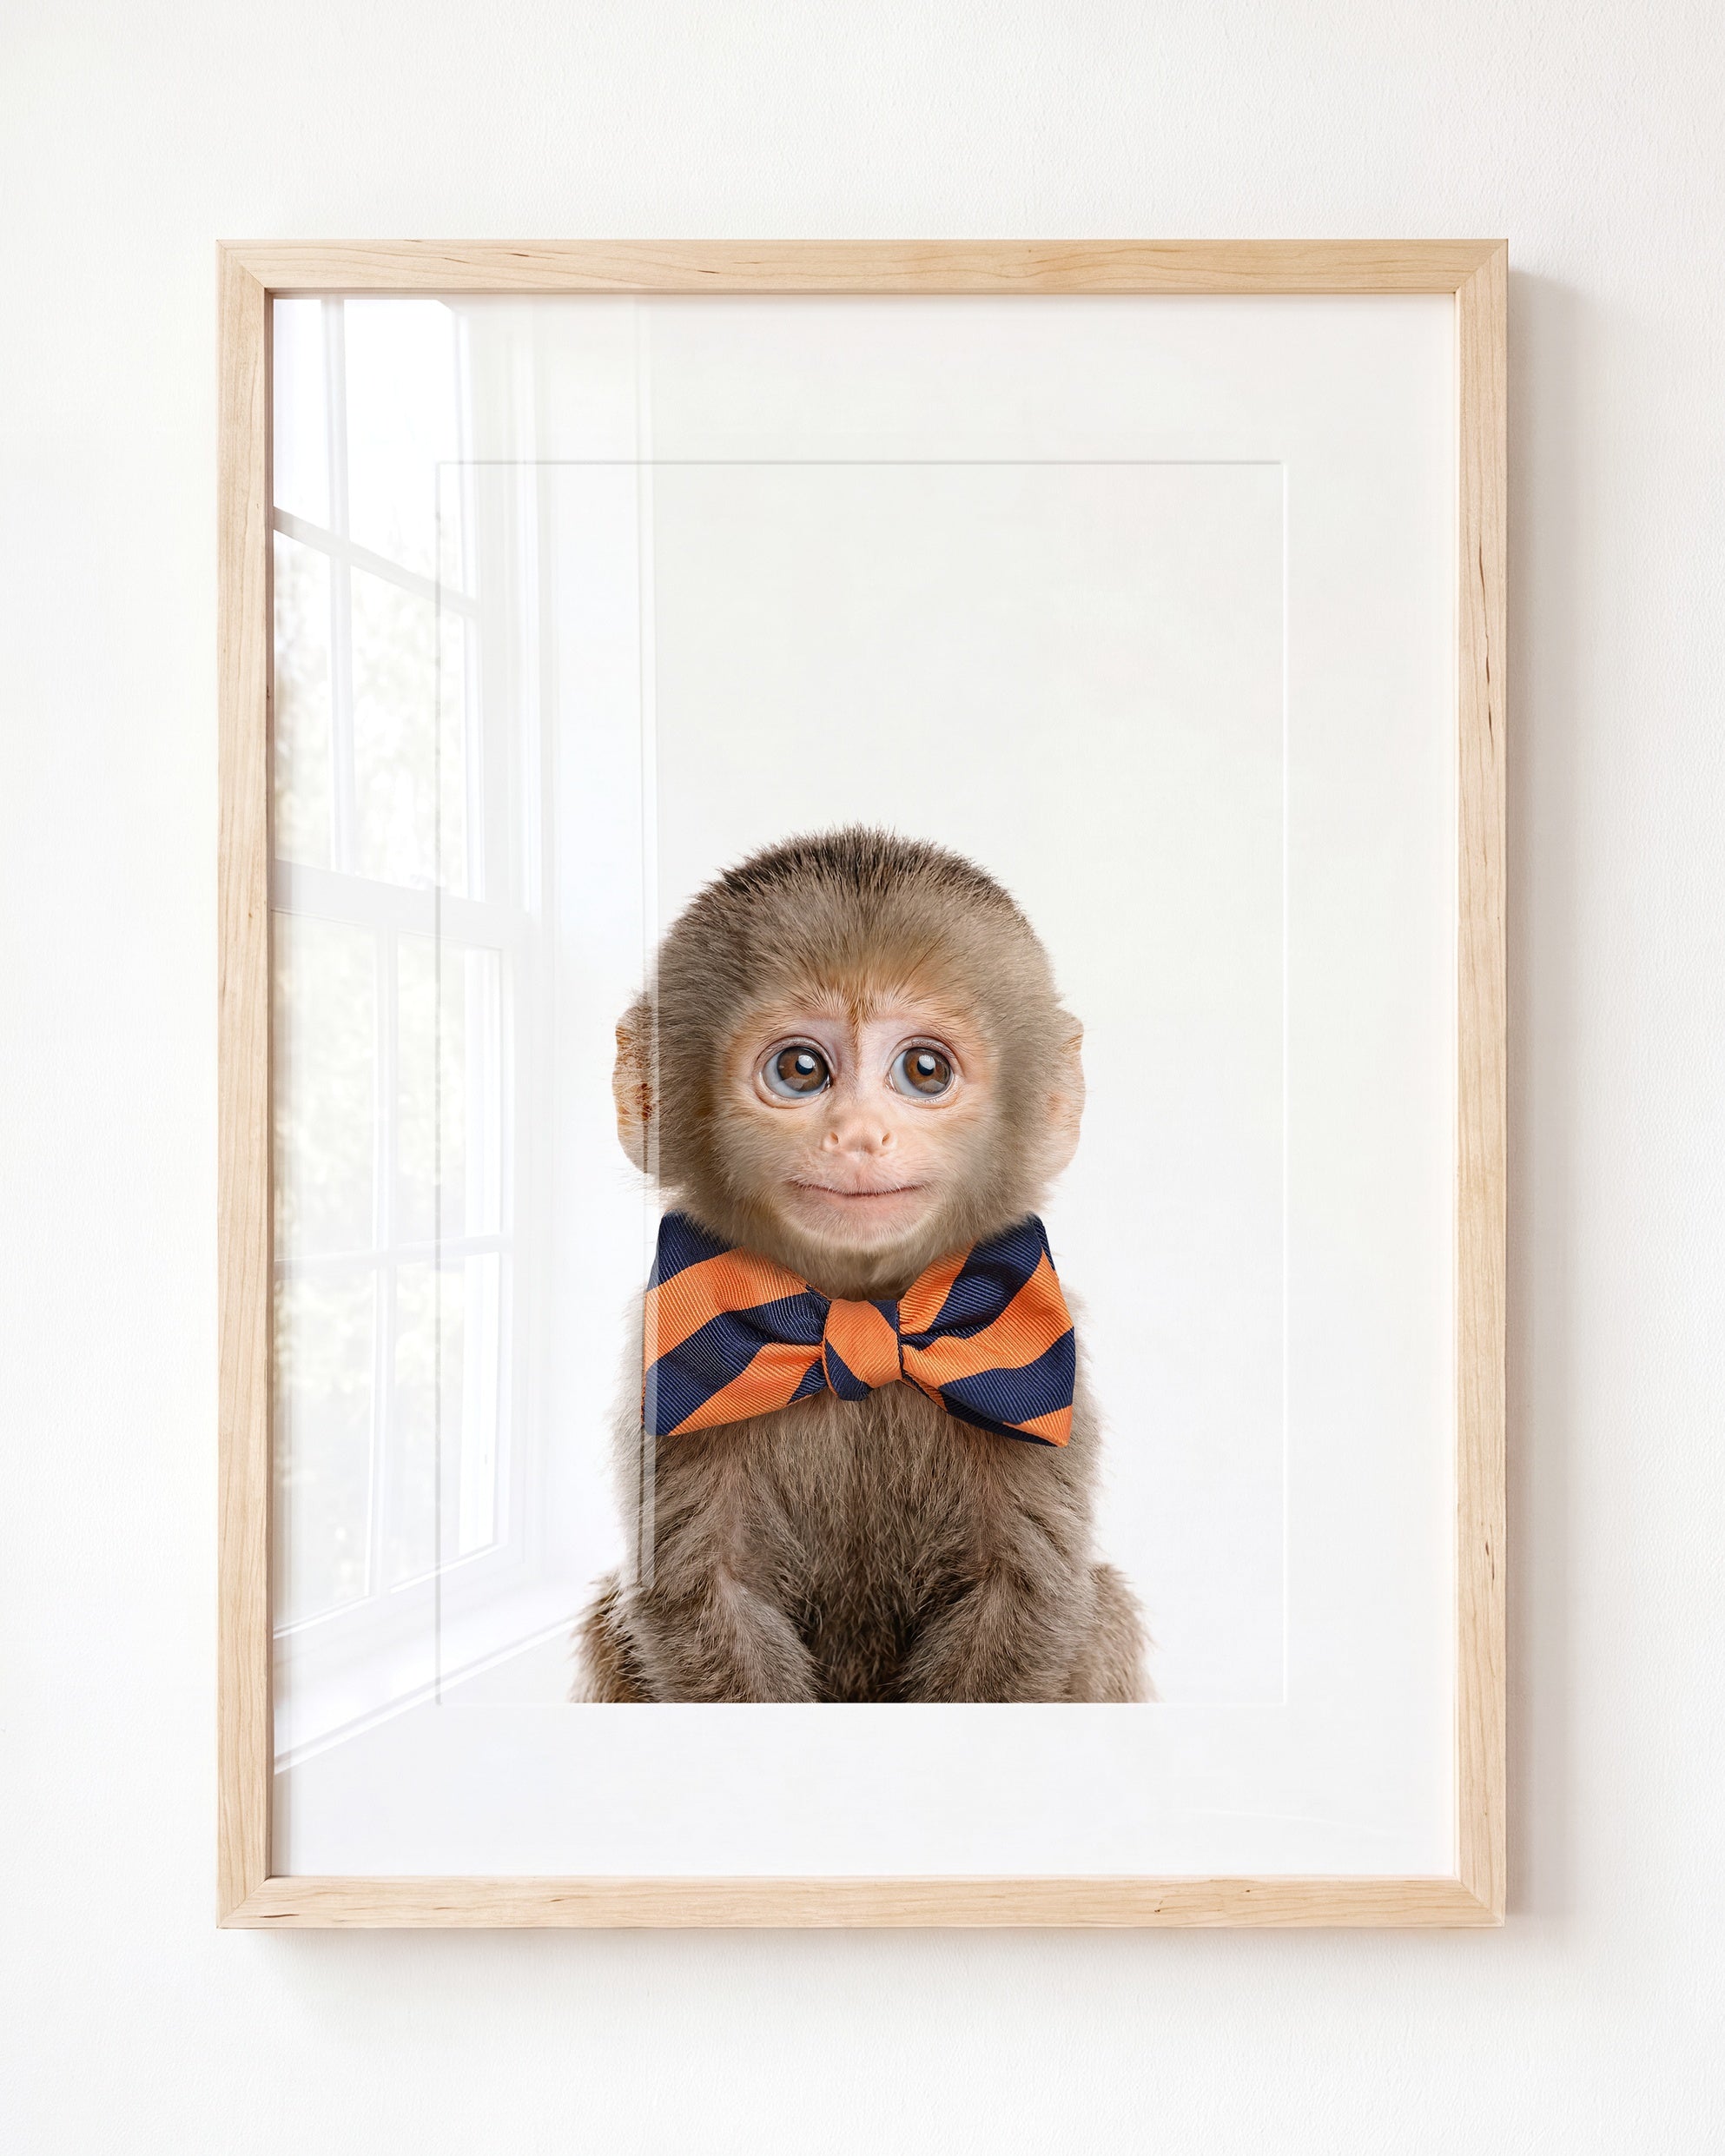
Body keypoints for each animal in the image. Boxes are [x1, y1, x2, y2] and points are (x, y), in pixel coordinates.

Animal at [573, 826, 1147, 1703]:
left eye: (924, 1070)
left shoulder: (1047, 1369)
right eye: (801, 1069)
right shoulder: (668, 1367)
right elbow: (702, 1595)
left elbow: (1024, 1594)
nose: (859, 1136)